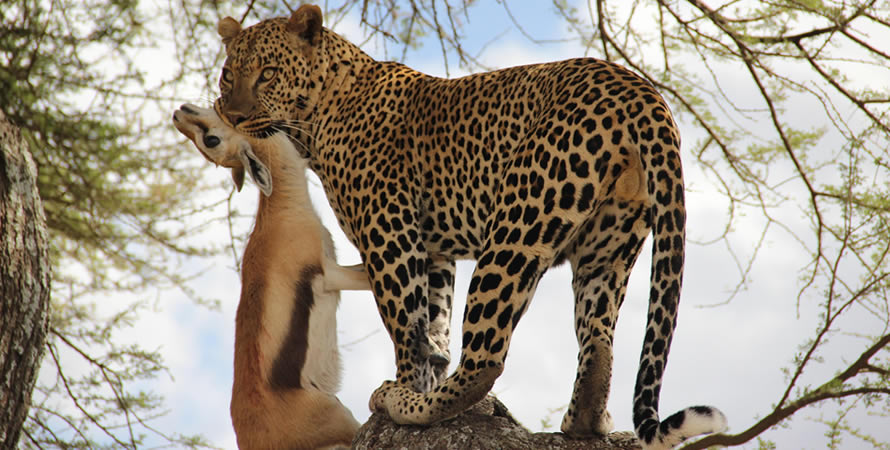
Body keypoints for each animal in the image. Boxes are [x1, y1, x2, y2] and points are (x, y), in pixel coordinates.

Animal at [211, 4, 727, 448]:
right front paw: (427, 371)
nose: (232, 114)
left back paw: (406, 403)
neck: (317, 116)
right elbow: (432, 326)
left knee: (485, 357)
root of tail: (641, 90)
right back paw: (583, 422)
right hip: (611, 244)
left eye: (268, 72)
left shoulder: (389, 236)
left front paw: (408, 390)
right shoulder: (433, 250)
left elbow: (406, 328)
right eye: (228, 74)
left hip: (518, 226)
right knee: (597, 339)